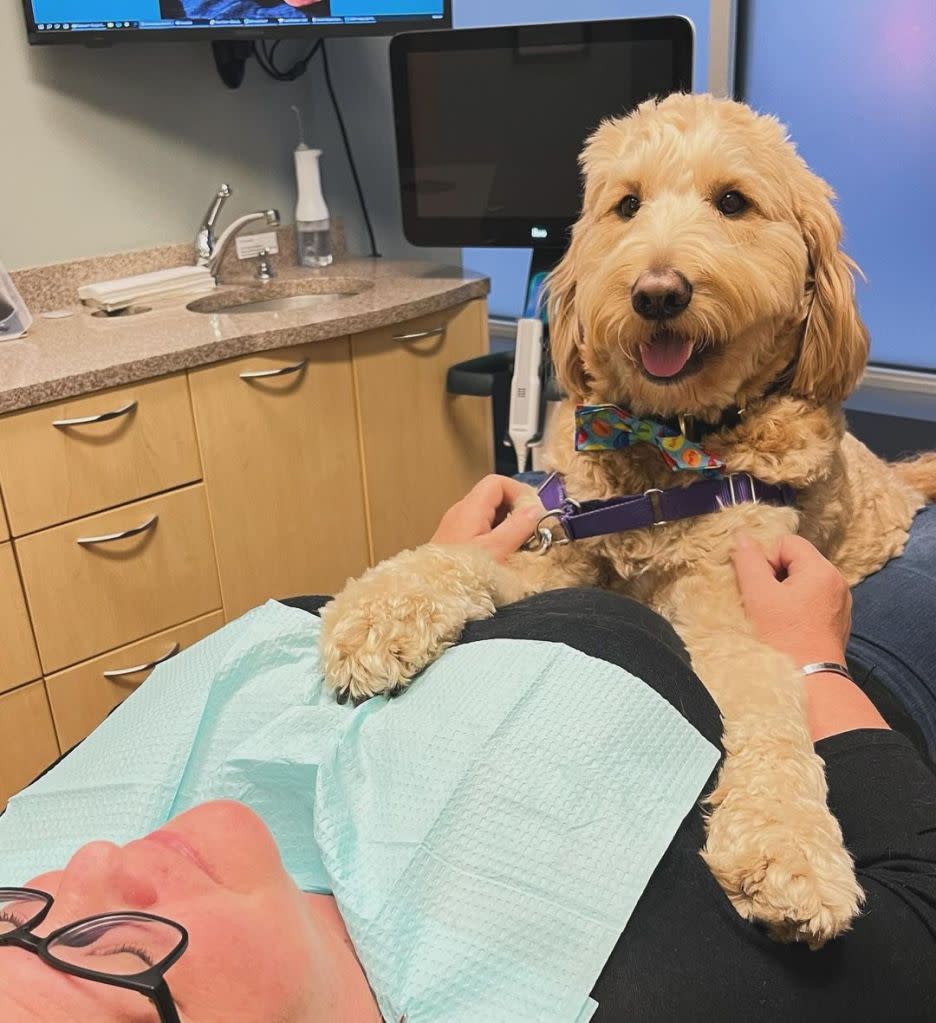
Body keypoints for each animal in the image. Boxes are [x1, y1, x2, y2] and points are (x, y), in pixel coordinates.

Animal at [321, 96, 936, 949]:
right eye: (627, 205)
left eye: (733, 202)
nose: (657, 292)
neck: (663, 454)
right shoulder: (557, 547)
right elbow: (462, 556)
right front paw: (377, 612)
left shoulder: (737, 613)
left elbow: (776, 711)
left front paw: (787, 849)